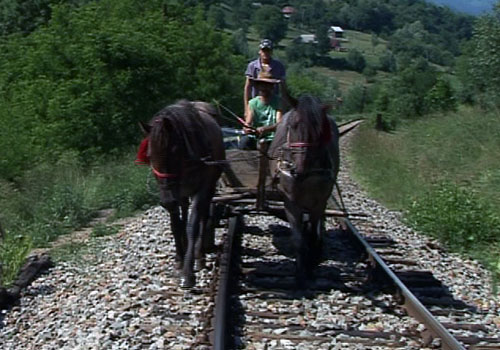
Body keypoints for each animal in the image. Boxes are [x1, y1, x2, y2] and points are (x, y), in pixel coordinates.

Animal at [142, 100, 226, 288]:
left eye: (174, 151)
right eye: (149, 155)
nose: (167, 201)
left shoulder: (200, 190)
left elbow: (192, 225)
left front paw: (188, 272)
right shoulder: (175, 194)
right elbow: (175, 224)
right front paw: (179, 259)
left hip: (208, 187)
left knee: (203, 217)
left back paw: (199, 253)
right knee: (184, 210)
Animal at [270, 95, 340, 288]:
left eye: (320, 131)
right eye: (292, 126)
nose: (299, 171)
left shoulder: (319, 202)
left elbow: (312, 234)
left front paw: (311, 266)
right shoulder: (290, 201)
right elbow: (298, 240)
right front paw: (300, 273)